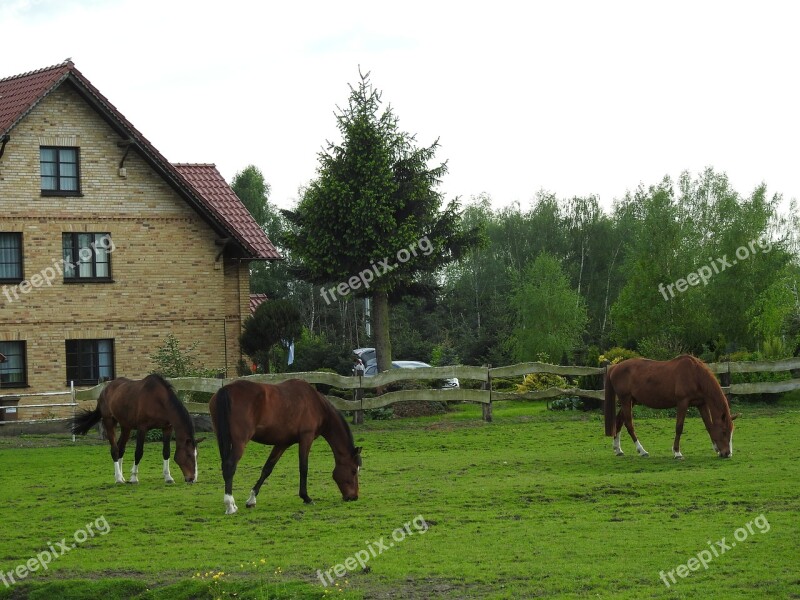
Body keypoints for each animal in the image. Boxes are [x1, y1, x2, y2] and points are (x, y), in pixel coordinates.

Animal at [70, 376, 198, 482]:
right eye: (188, 455)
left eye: (196, 455)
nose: (192, 478)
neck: (158, 401)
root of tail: (104, 390)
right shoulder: (142, 429)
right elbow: (138, 452)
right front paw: (133, 478)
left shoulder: (167, 428)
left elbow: (166, 452)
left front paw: (168, 477)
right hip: (109, 421)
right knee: (115, 450)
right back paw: (118, 479)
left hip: (126, 427)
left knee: (120, 448)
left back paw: (121, 476)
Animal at [211, 380, 364, 516]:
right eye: (353, 471)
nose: (354, 497)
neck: (316, 404)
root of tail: (226, 390)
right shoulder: (306, 438)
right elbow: (303, 468)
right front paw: (306, 497)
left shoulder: (282, 443)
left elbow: (267, 469)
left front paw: (252, 499)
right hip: (240, 442)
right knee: (230, 466)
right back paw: (230, 505)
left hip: (222, 439)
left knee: (225, 466)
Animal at [608, 356, 736, 460]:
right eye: (724, 431)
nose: (727, 453)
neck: (694, 374)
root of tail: (614, 367)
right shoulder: (682, 403)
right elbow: (679, 427)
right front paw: (677, 452)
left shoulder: (701, 404)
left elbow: (709, 426)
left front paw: (716, 449)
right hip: (625, 400)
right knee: (629, 424)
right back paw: (642, 451)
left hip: (631, 401)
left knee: (619, 420)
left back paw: (618, 449)